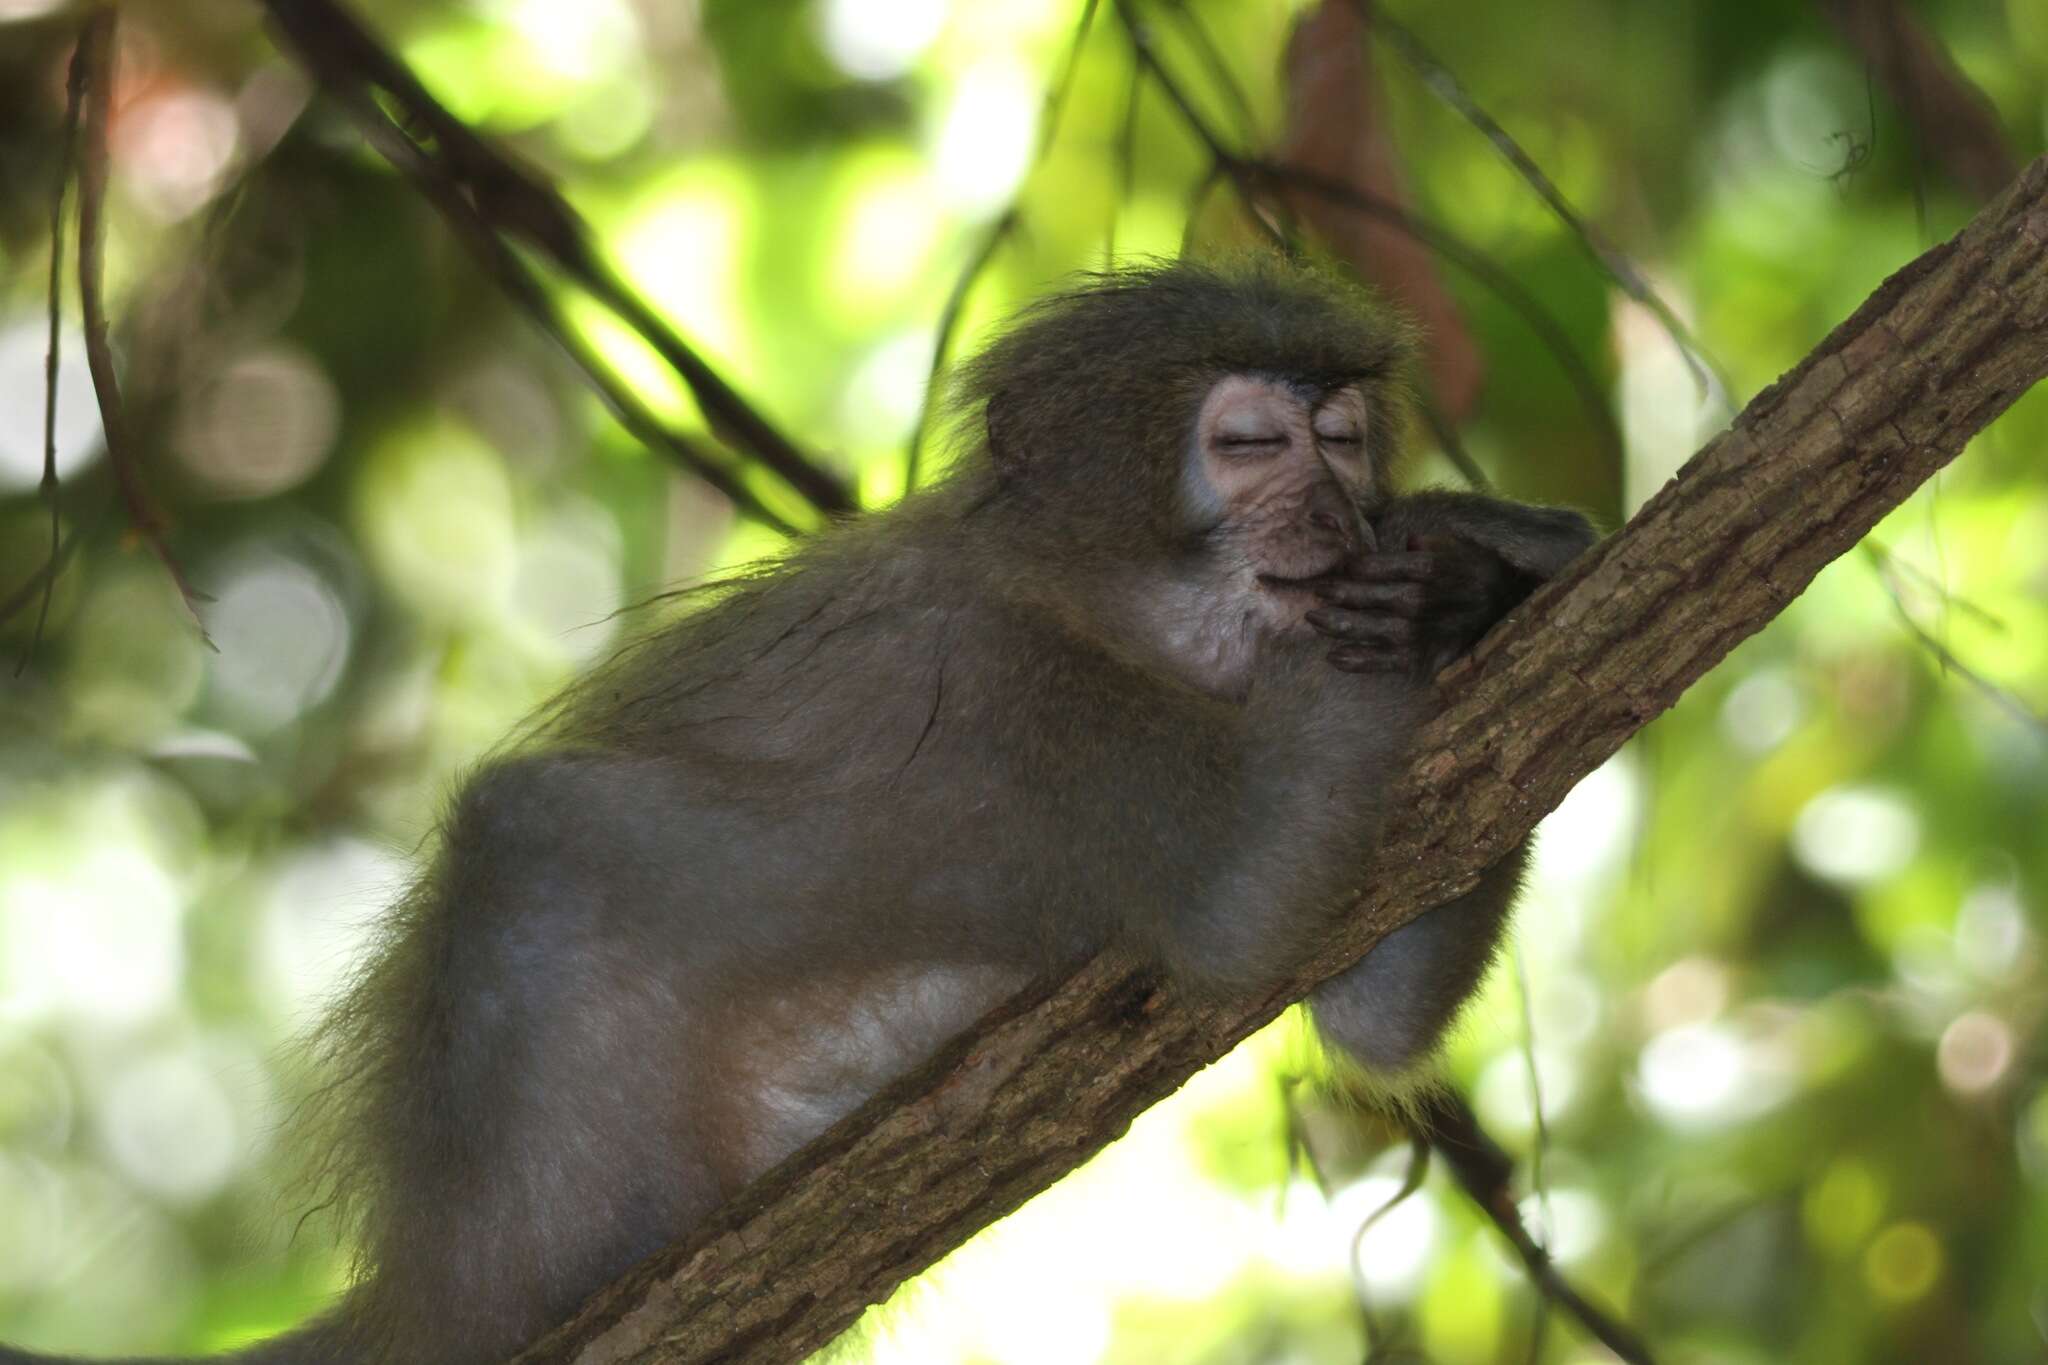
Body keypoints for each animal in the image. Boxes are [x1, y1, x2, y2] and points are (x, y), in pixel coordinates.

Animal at [0, 258, 1597, 1365]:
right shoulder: (1017, 702)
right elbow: (1244, 899)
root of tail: (416, 1293)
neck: (1111, 609)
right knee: (535, 843)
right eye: (1256, 446)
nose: (1335, 517)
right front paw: (1469, 558)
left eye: (1343, 438)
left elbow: (1372, 1017)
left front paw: (1486, 575)